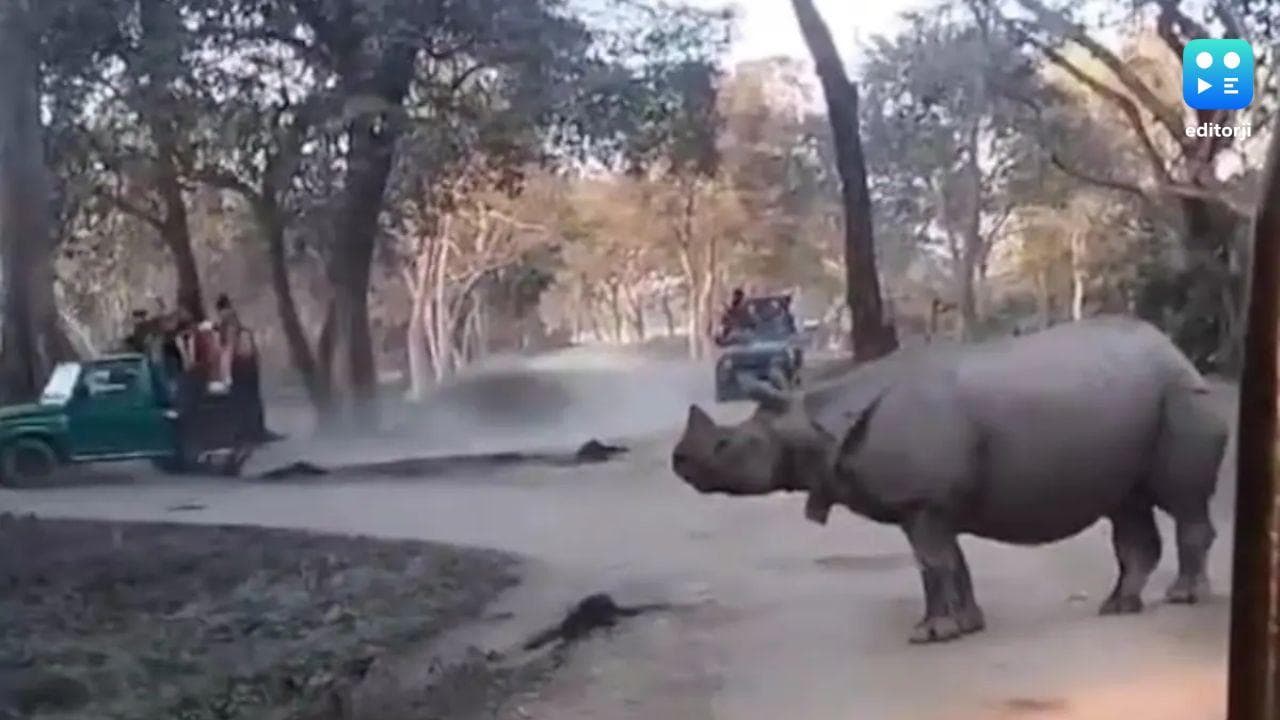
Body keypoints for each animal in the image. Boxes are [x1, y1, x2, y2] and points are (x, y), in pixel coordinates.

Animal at [671, 317, 1228, 644]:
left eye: (729, 446)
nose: (679, 462)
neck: (816, 423)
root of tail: (1178, 352)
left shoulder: (922, 502)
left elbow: (932, 563)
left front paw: (930, 632)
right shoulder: (933, 504)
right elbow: (951, 563)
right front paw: (966, 626)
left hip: (1180, 394)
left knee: (1183, 500)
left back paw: (1183, 597)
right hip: (1140, 400)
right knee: (1126, 505)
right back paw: (1118, 607)